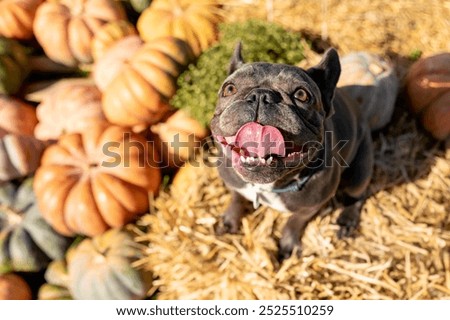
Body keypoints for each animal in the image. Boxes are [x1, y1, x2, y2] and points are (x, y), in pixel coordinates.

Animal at [210, 42, 394, 258]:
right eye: (229, 88)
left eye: (301, 95)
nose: (261, 95)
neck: (267, 186)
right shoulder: (234, 185)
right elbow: (236, 199)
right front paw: (229, 220)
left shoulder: (310, 207)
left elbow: (294, 222)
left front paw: (288, 244)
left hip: (359, 172)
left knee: (357, 194)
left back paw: (346, 220)